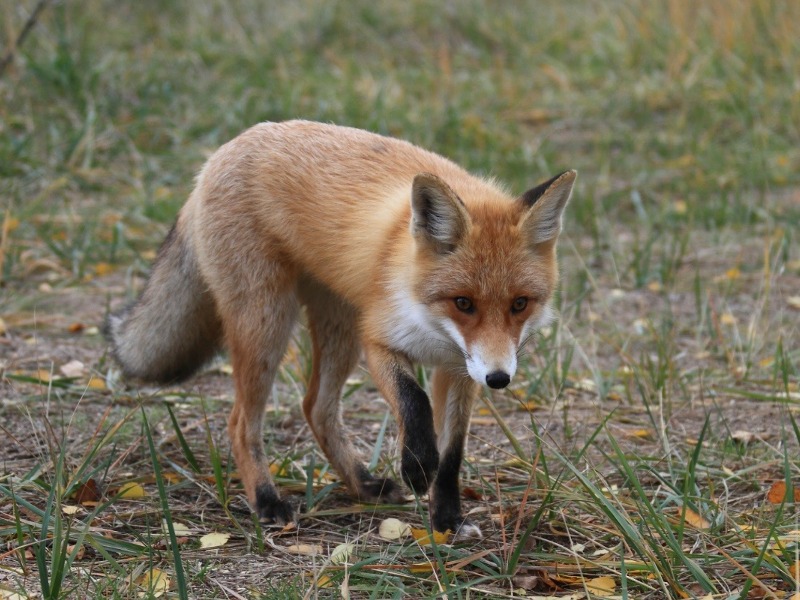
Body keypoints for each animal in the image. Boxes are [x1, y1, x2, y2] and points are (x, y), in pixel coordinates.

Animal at [107, 120, 575, 538]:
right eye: (463, 303)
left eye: (519, 304)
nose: (499, 379)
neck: (431, 324)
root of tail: (222, 153)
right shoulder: (380, 340)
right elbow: (414, 400)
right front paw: (416, 466)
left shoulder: (459, 368)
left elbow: (452, 453)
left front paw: (447, 518)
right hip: (269, 324)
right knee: (241, 423)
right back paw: (267, 500)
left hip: (339, 328)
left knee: (315, 407)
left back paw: (362, 484)